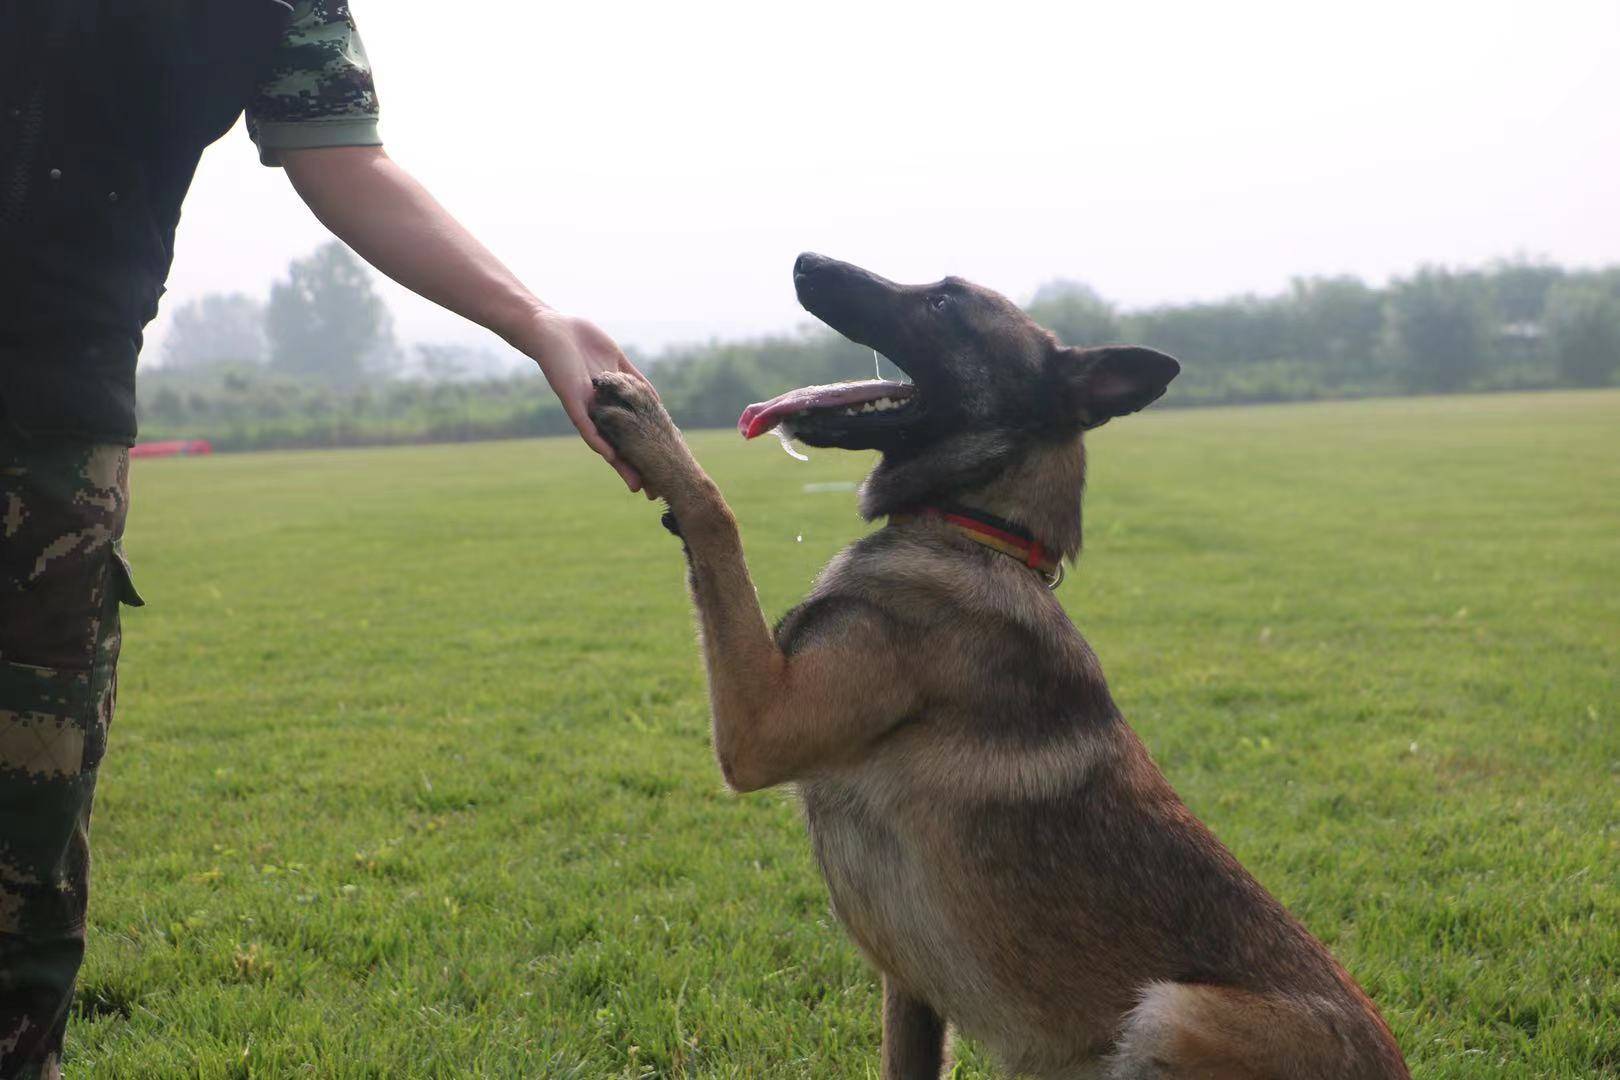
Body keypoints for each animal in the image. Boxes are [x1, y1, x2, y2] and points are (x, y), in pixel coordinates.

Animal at [589, 255, 1412, 1080]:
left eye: (944, 303)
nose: (806, 263)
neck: (976, 530)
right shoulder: (910, 991)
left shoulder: (761, 729)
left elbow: (717, 519)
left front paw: (653, 429)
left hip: (1169, 1014)